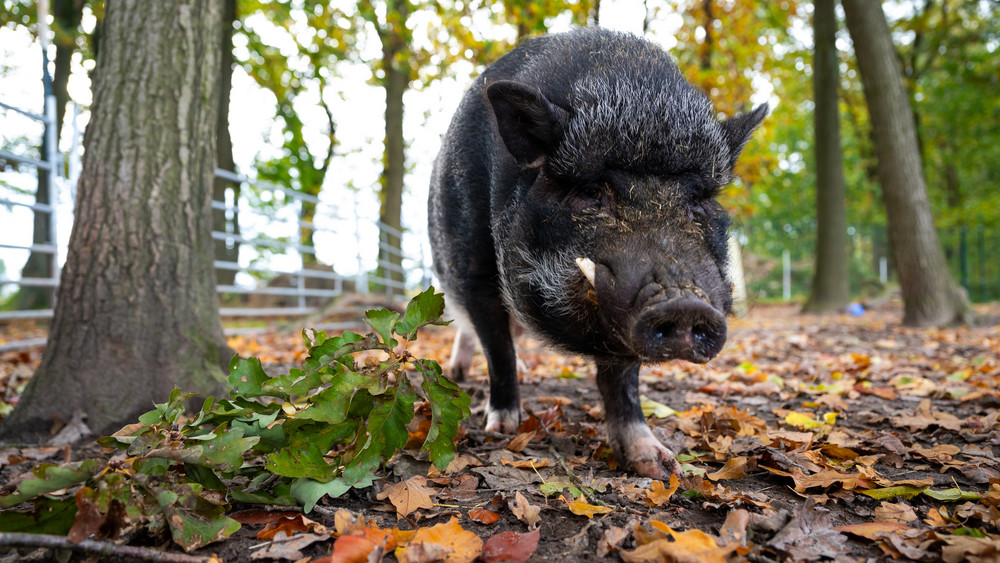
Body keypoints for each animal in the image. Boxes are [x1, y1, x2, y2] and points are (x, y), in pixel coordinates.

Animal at [428, 27, 764, 480]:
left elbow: (622, 379)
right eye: (590, 191)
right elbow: (496, 346)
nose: (684, 303)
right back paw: (461, 374)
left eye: (697, 199)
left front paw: (659, 465)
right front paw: (501, 428)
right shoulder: (473, 268)